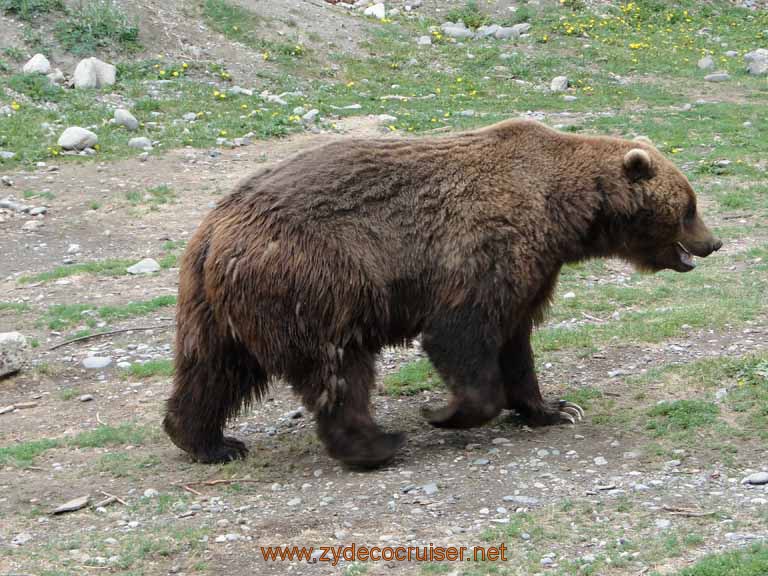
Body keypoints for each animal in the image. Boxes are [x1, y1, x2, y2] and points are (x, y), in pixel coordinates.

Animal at [162, 119, 720, 466]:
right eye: (689, 205)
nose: (713, 242)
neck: (565, 210)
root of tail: (213, 230)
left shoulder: (532, 271)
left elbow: (516, 342)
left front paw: (554, 408)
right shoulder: (486, 249)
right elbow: (461, 334)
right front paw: (445, 413)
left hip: (215, 304)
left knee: (213, 369)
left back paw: (208, 441)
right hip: (316, 282)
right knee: (337, 369)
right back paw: (377, 444)